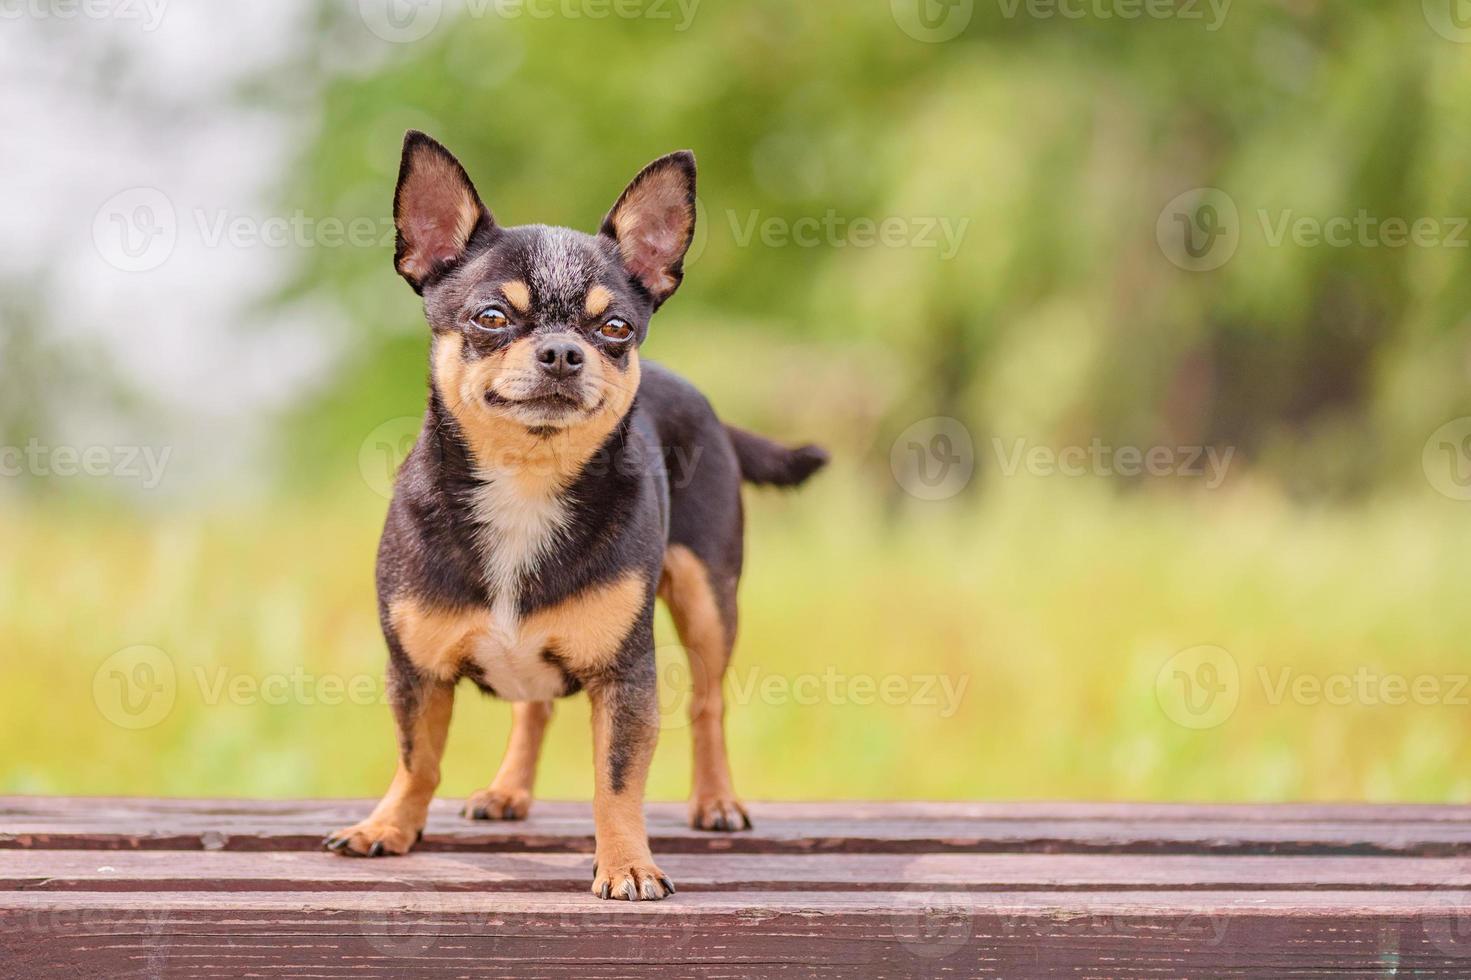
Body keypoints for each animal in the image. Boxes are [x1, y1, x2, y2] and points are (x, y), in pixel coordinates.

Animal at [325, 133, 829, 894]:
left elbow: (616, 780)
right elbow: (418, 757)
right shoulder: (416, 670)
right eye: (491, 317)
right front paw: (388, 825)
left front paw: (626, 862)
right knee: (532, 708)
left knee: (707, 703)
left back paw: (715, 800)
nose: (563, 351)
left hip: (708, 600)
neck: (525, 484)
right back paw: (508, 790)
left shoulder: (625, 677)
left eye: (615, 327)